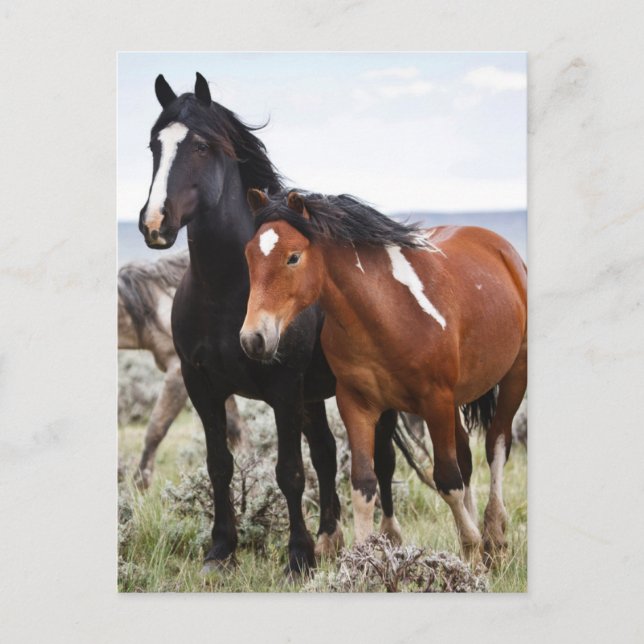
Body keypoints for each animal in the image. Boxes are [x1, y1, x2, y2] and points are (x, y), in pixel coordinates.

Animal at [241, 189, 527, 564]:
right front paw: (361, 561)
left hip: (513, 378)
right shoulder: (356, 404)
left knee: (496, 446)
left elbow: (447, 478)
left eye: (293, 257)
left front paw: (472, 549)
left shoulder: (435, 401)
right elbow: (364, 484)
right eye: (248, 255)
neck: (388, 312)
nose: (253, 339)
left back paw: (494, 534)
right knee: (466, 457)